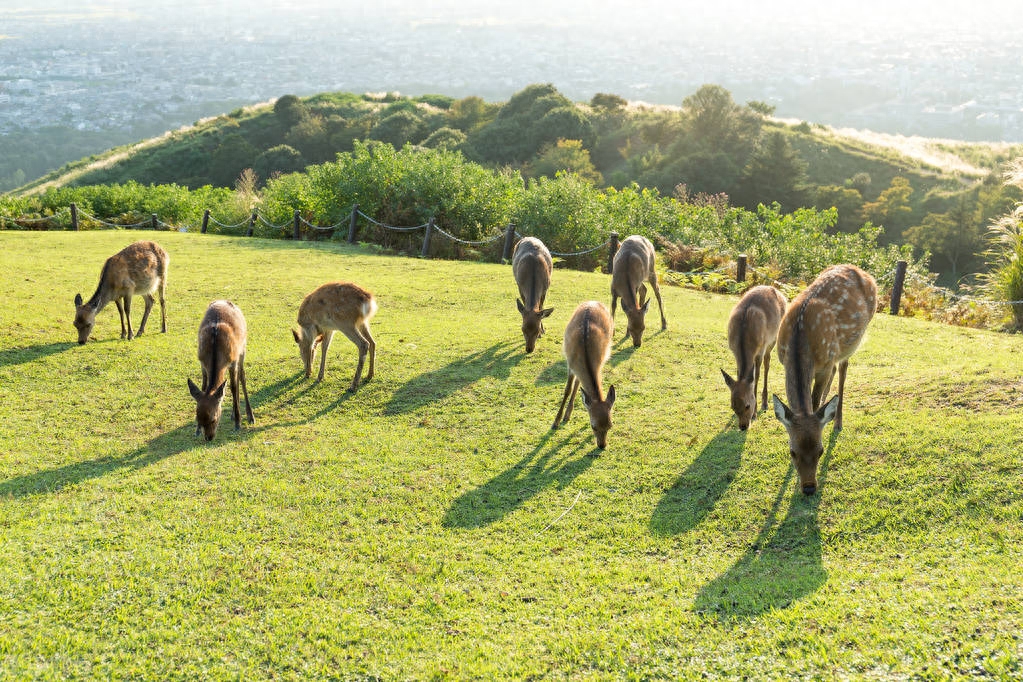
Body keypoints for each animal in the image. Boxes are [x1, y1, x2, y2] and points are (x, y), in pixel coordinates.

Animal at [188, 300, 253, 443]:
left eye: (213, 419)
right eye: (198, 418)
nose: (209, 438)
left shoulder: (233, 361)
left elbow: (233, 387)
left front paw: (238, 424)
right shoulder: (202, 362)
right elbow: (203, 387)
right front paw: (196, 431)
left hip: (243, 348)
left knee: (241, 377)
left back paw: (250, 416)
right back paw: (234, 414)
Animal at [552, 300, 613, 449]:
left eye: (610, 426)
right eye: (593, 426)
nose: (602, 445)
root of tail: (593, 301)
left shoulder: (601, 363)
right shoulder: (570, 364)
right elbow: (567, 390)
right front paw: (555, 422)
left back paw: (568, 414)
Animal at [720, 286, 789, 429]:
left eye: (748, 405)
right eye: (732, 407)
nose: (743, 427)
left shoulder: (760, 350)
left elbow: (756, 377)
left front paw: (755, 413)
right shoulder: (734, 351)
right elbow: (739, 373)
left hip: (774, 337)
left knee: (767, 363)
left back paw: (765, 403)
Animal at [769, 263, 875, 496]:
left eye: (821, 450)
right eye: (792, 452)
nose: (809, 487)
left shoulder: (824, 364)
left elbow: (815, 400)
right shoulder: (783, 360)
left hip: (849, 344)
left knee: (843, 368)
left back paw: (837, 421)